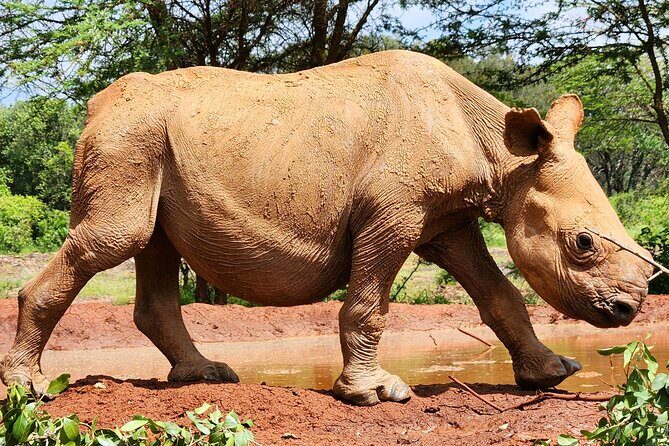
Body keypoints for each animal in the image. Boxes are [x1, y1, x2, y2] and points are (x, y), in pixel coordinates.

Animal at [1, 50, 654, 406]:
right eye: (583, 244)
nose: (629, 310)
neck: (501, 154)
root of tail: (95, 104)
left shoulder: (447, 222)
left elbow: (499, 295)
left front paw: (552, 373)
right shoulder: (393, 214)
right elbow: (369, 305)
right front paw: (376, 393)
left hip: (148, 137)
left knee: (152, 246)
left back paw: (206, 376)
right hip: (128, 136)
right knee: (118, 237)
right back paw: (30, 388)